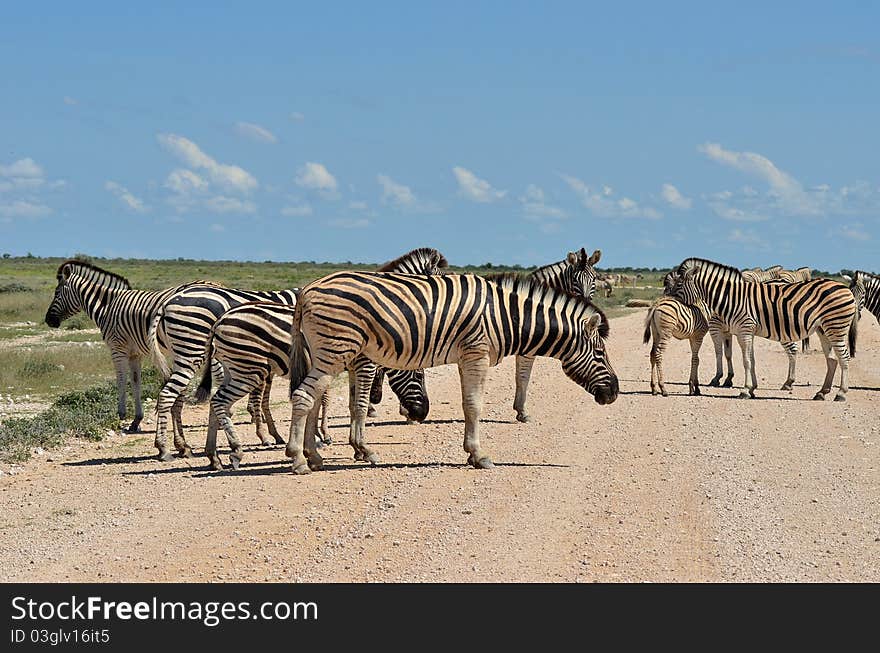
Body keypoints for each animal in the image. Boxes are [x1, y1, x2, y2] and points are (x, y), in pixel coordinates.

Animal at [44, 260, 211, 432]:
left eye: (56, 292)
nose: (48, 320)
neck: (107, 307)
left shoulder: (117, 348)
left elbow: (121, 379)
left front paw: (121, 414)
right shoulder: (135, 353)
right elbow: (136, 381)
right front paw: (136, 419)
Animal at [203, 300, 430, 468]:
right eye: (419, 376)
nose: (421, 416)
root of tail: (220, 320)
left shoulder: (353, 367)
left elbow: (351, 405)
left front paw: (355, 450)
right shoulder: (364, 364)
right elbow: (360, 406)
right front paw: (364, 450)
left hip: (233, 369)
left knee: (214, 403)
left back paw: (214, 457)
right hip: (248, 369)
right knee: (220, 402)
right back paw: (236, 450)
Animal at [286, 268, 616, 474]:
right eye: (600, 354)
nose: (614, 392)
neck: (505, 316)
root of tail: (307, 290)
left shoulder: (465, 356)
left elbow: (468, 404)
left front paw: (472, 452)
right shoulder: (476, 353)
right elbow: (474, 405)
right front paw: (479, 455)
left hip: (324, 351)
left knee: (311, 399)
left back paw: (314, 457)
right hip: (336, 349)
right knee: (303, 397)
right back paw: (297, 460)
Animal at [512, 246, 600, 422]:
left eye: (594, 279)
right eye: (574, 280)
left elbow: (520, 377)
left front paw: (519, 410)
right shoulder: (527, 349)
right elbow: (524, 377)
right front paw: (522, 412)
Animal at [672, 258, 856, 400]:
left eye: (679, 284)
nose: (668, 301)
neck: (731, 297)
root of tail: (845, 287)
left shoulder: (744, 330)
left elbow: (746, 361)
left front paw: (744, 390)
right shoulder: (748, 331)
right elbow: (752, 360)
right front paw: (752, 389)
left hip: (836, 327)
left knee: (844, 358)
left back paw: (841, 393)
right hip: (823, 329)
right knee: (832, 360)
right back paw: (821, 392)